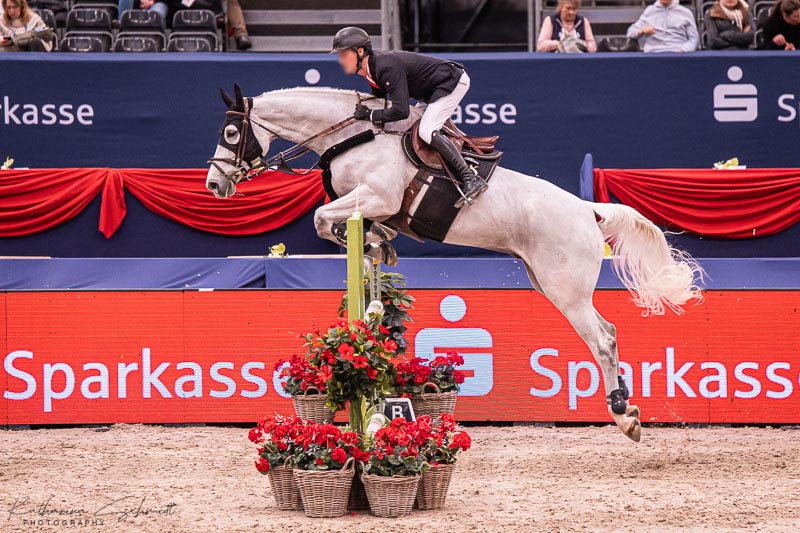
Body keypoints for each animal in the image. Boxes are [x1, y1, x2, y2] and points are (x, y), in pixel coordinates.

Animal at [205, 84, 704, 442]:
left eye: (230, 134)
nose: (214, 184)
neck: (350, 135)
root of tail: (587, 209)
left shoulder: (376, 196)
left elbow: (322, 219)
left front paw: (369, 254)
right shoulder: (373, 205)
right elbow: (355, 230)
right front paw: (379, 249)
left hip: (567, 291)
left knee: (601, 339)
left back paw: (623, 415)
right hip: (547, 282)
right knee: (609, 333)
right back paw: (627, 409)